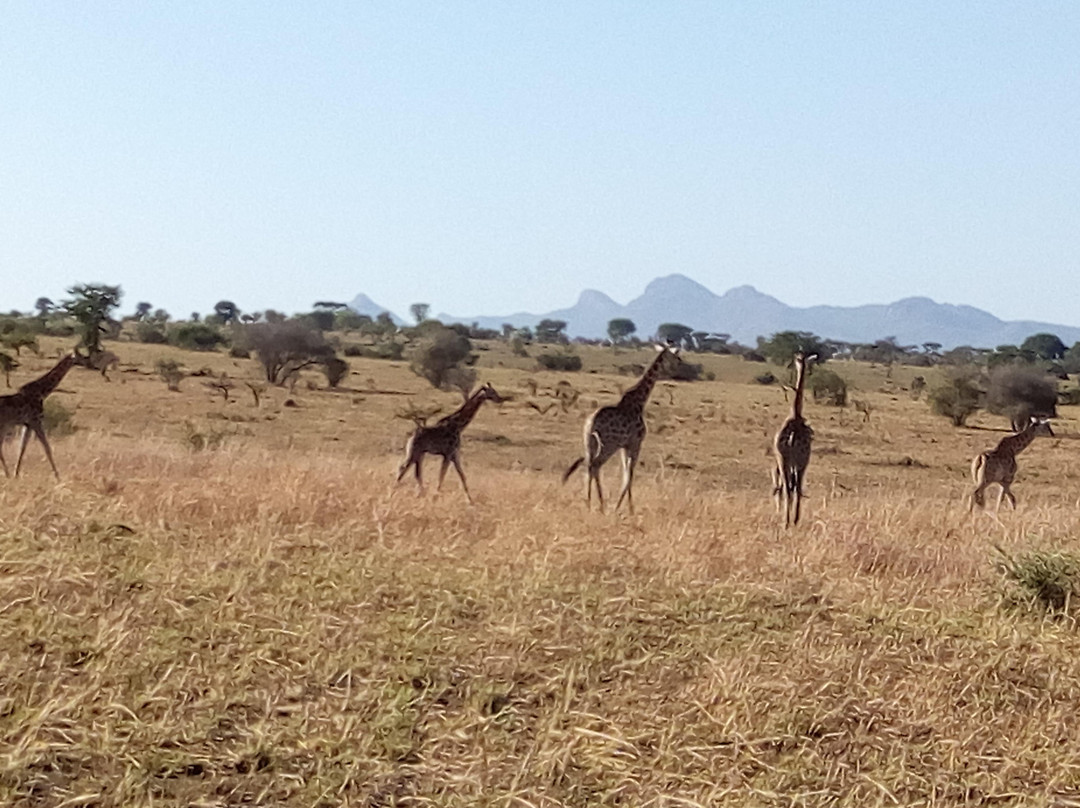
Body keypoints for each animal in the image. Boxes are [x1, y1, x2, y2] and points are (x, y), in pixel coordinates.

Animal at [565, 343, 682, 514]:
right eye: (675, 356)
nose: (679, 365)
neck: (640, 402)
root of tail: (591, 423)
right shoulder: (636, 443)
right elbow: (629, 476)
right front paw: (626, 508)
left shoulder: (624, 446)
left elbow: (626, 474)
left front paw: (623, 506)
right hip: (607, 445)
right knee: (595, 466)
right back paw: (598, 504)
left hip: (589, 443)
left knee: (589, 466)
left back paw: (591, 502)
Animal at [768, 349, 816, 527]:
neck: (795, 412)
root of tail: (792, 437)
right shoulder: (803, 461)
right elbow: (796, 487)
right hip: (800, 461)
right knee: (794, 488)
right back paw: (792, 520)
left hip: (784, 460)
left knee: (787, 488)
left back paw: (786, 521)